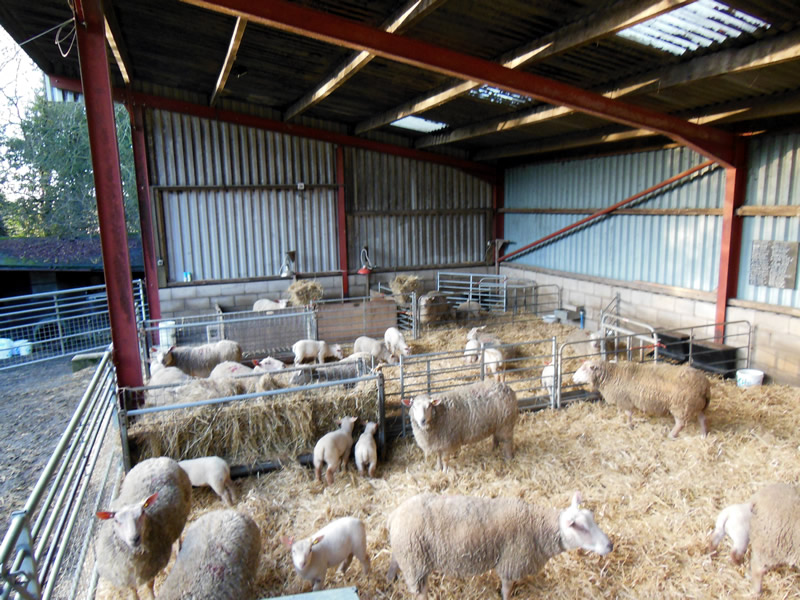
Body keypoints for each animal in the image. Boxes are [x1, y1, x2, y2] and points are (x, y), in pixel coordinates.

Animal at [94, 457, 192, 600]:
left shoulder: (151, 569)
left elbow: (149, 586)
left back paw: (179, 549)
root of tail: (157, 459)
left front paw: (151, 597)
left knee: (178, 535)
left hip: (183, 512)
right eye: (116, 521)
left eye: (142, 513)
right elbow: (132, 591)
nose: (134, 538)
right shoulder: (124, 577)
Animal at [386, 491, 613, 600]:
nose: (610, 545)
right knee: (420, 593)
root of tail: (395, 514)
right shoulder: (510, 563)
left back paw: (389, 579)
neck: (537, 528)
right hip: (416, 563)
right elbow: (506, 589)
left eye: (592, 517)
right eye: (580, 527)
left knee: (394, 561)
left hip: (406, 554)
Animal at [572, 359, 710, 438]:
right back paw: (703, 434)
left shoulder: (625, 400)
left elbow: (628, 414)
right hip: (697, 405)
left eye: (584, 369)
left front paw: (629, 425)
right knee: (702, 418)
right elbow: (621, 411)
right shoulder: (621, 400)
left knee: (680, 424)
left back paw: (672, 435)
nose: (573, 378)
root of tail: (704, 386)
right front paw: (620, 417)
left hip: (681, 406)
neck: (612, 374)